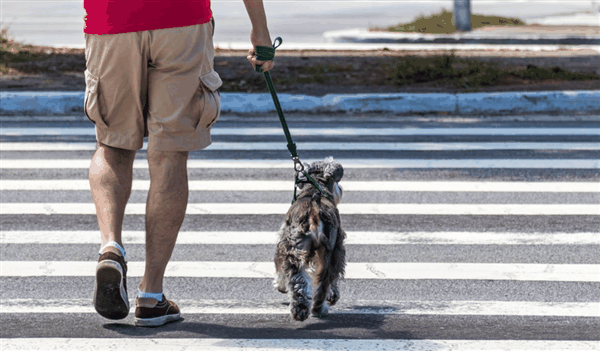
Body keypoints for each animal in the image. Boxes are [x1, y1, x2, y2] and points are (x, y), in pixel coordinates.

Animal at [274, 158, 344, 324]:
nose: (341, 189)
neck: (315, 186)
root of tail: (315, 211)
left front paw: (280, 286)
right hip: (330, 254)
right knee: (323, 283)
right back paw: (317, 309)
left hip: (295, 249)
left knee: (300, 282)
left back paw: (302, 310)